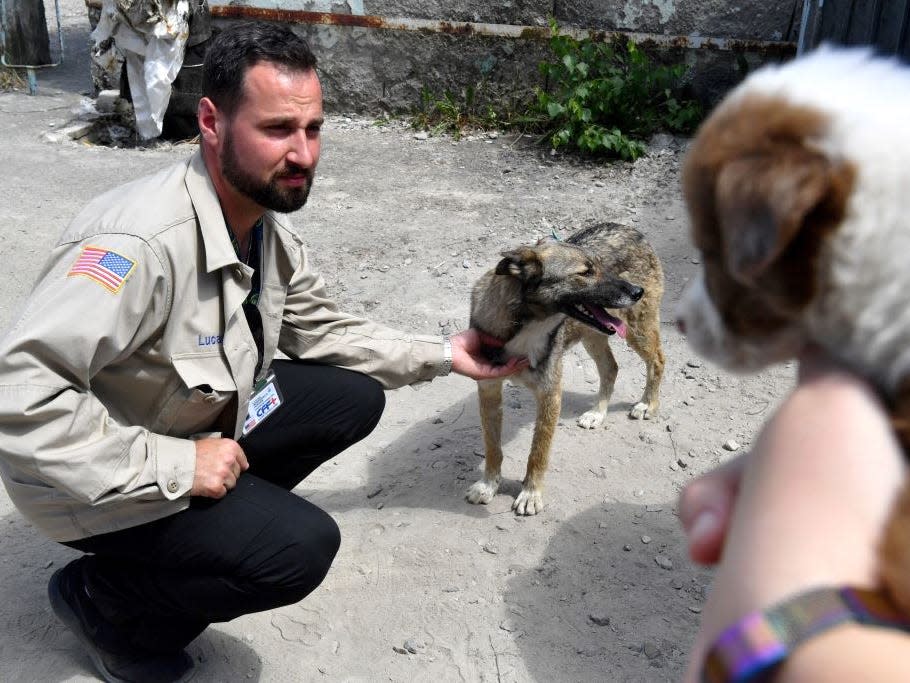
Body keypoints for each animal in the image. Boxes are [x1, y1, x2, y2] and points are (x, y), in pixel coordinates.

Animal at [466, 222, 668, 516]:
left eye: (600, 265)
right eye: (585, 272)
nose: (636, 291)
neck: (525, 323)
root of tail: (629, 229)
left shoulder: (550, 393)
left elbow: (538, 451)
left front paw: (531, 493)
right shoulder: (489, 389)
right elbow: (492, 445)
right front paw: (488, 485)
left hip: (637, 328)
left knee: (657, 361)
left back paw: (647, 404)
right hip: (592, 333)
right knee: (611, 368)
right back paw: (597, 414)